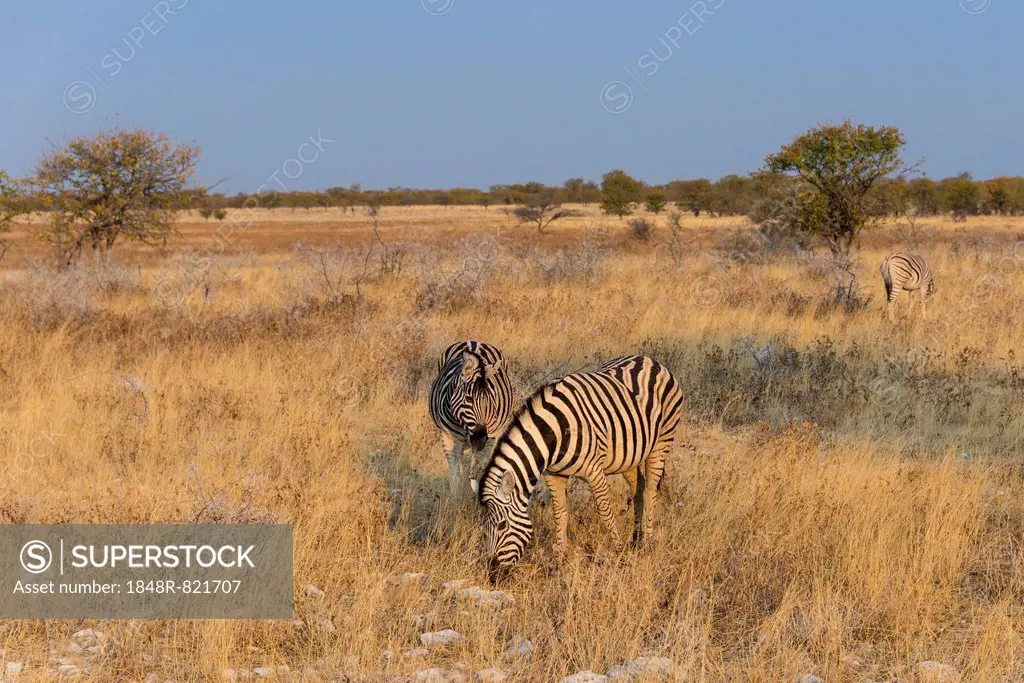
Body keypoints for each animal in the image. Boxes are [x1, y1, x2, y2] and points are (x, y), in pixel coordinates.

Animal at [428, 339, 516, 497]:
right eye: (468, 399)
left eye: (490, 401)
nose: (480, 440)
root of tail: (474, 341)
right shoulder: (448, 437)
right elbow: (455, 475)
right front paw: (454, 500)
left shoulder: (490, 435)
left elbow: (478, 471)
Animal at [468, 356, 679, 581]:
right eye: (483, 528)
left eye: (501, 526)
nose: (493, 574)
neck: (554, 432)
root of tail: (648, 360)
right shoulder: (553, 475)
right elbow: (560, 513)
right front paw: (558, 560)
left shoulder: (594, 471)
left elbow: (605, 511)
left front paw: (618, 551)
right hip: (628, 456)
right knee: (638, 490)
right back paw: (636, 539)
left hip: (661, 444)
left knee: (650, 492)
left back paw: (647, 543)